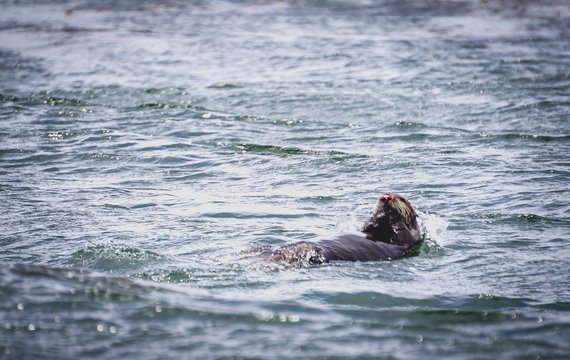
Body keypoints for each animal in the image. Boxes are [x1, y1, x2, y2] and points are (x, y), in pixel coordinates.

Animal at [260, 191, 418, 264]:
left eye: (402, 199)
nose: (386, 197)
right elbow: (366, 228)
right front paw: (376, 217)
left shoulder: (409, 241)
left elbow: (404, 234)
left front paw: (391, 215)